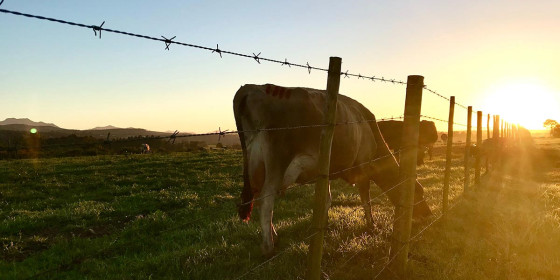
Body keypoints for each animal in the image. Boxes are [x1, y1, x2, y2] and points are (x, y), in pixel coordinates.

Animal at [232, 83, 434, 256]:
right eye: (419, 193)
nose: (428, 214)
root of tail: (250, 88)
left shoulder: (326, 173)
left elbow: (327, 200)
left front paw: (323, 225)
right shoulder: (363, 166)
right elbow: (366, 200)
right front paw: (371, 225)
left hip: (255, 166)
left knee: (259, 199)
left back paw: (274, 236)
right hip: (277, 160)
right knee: (266, 202)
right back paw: (268, 247)